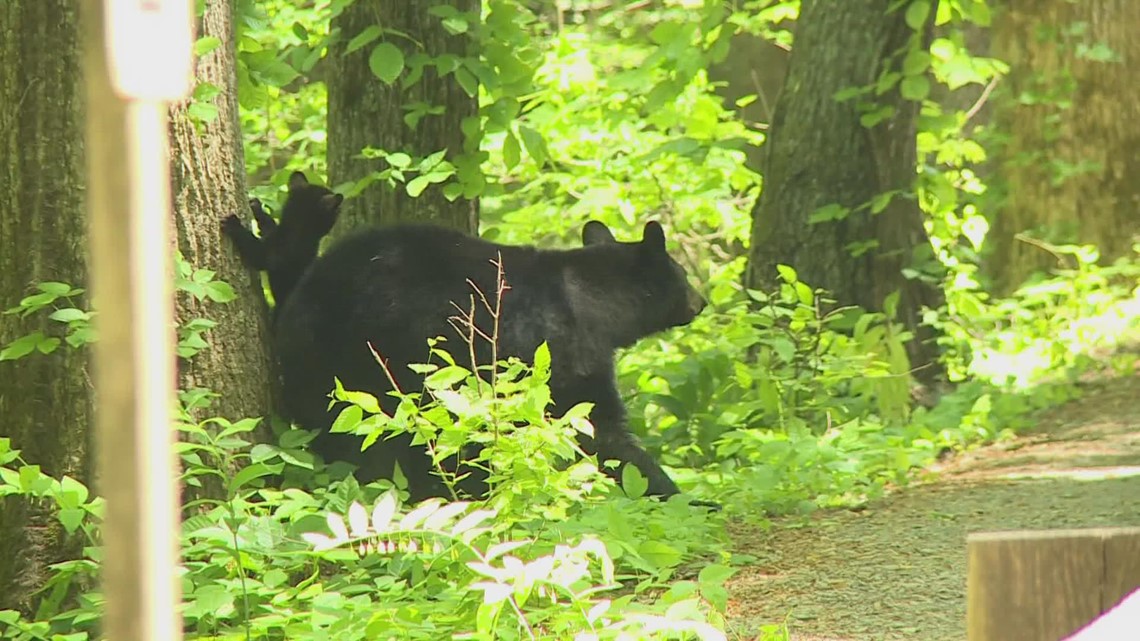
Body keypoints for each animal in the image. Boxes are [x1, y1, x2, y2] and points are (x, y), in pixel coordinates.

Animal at [221, 171, 344, 311]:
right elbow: (268, 225)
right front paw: (256, 206)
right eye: (337, 210)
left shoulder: (270, 255)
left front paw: (233, 224)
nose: (341, 208)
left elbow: (252, 246)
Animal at [272, 219, 708, 504]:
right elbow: (599, 429)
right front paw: (679, 494)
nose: (702, 301)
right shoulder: (561, 355)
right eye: (683, 274)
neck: (594, 304)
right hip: (355, 365)